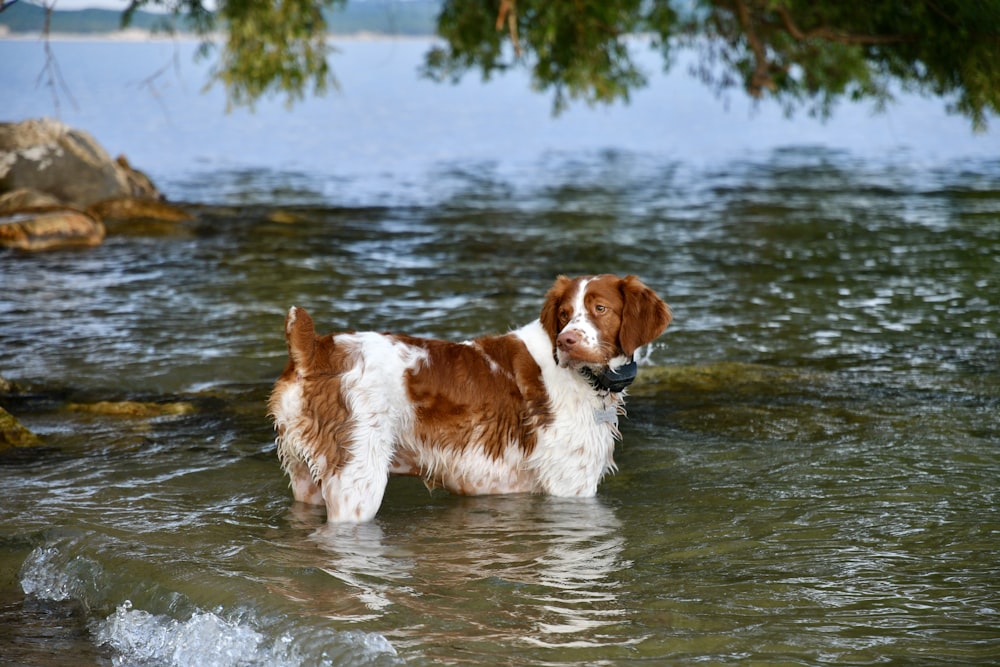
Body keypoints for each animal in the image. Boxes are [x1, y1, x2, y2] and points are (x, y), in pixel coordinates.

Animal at [266, 274, 672, 524]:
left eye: (600, 309)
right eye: (564, 314)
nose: (567, 340)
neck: (586, 379)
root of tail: (314, 350)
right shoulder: (571, 487)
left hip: (307, 481)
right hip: (356, 484)